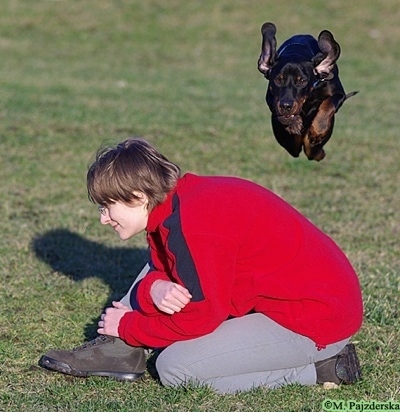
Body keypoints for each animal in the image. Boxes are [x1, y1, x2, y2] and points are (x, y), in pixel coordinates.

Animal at [258, 22, 358, 161]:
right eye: (278, 79)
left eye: (302, 81)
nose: (286, 106)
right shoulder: (271, 98)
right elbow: (276, 107)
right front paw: (293, 123)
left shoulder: (338, 93)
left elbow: (329, 103)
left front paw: (319, 129)